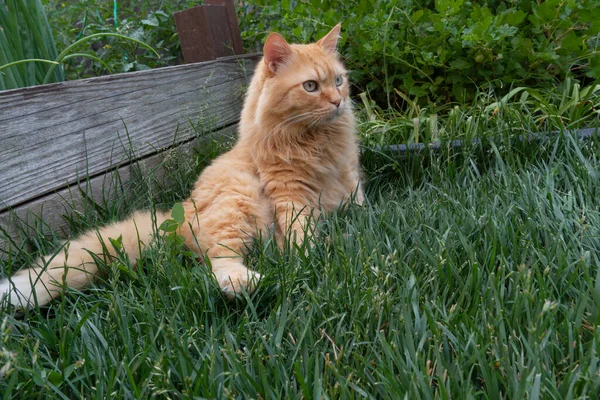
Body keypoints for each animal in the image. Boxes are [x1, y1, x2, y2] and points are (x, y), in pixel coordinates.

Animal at [0, 23, 364, 308]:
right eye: (311, 86)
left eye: (339, 80)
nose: (338, 101)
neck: (317, 142)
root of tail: (176, 217)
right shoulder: (290, 194)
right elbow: (300, 235)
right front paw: (308, 258)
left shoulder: (350, 181)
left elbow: (359, 207)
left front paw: (346, 228)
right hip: (240, 200)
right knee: (219, 262)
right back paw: (248, 283)